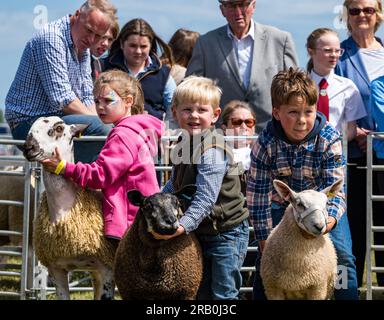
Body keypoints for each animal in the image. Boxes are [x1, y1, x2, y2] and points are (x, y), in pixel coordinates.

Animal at [22, 117, 114, 300]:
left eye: (58, 128)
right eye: (30, 128)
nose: (28, 147)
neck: (63, 213)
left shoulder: (107, 268)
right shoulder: (56, 268)